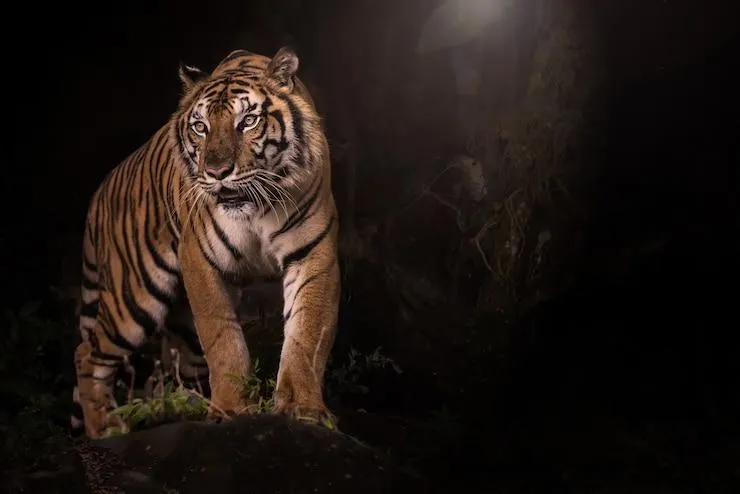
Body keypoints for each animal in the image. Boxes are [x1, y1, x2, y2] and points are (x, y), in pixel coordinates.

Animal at [71, 46, 341, 439]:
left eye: (248, 121)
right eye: (201, 127)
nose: (216, 173)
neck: (257, 209)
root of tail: (98, 193)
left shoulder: (313, 252)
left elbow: (307, 334)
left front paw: (302, 409)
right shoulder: (199, 257)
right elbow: (222, 337)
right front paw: (232, 409)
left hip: (177, 322)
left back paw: (184, 409)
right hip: (133, 297)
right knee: (86, 354)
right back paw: (106, 428)